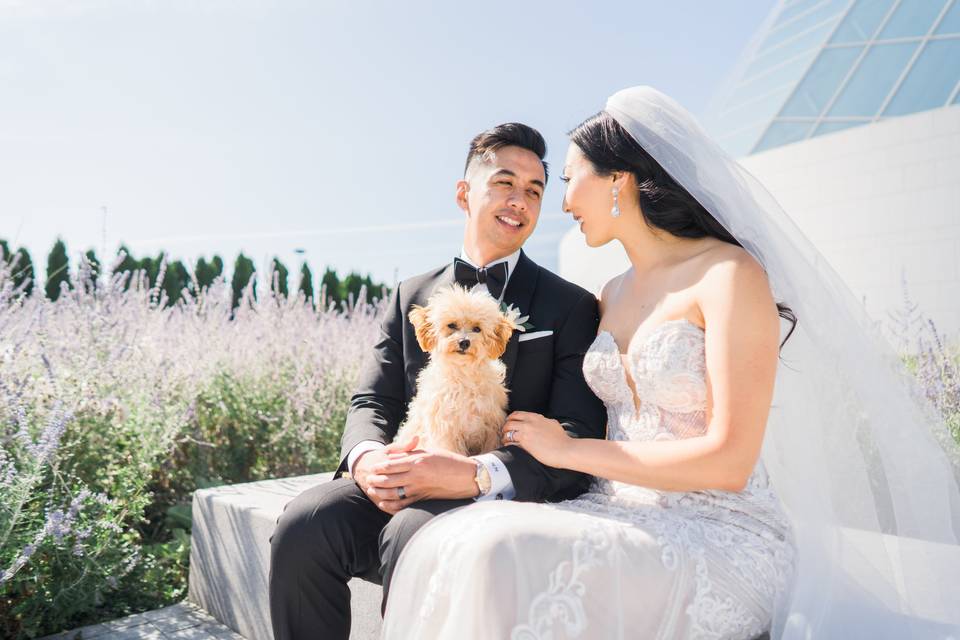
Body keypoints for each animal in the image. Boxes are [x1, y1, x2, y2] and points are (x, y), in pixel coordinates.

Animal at [396, 284, 516, 456]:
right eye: (451, 325)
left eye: (477, 328)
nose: (464, 342)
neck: (463, 374)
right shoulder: (446, 430)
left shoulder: (493, 428)